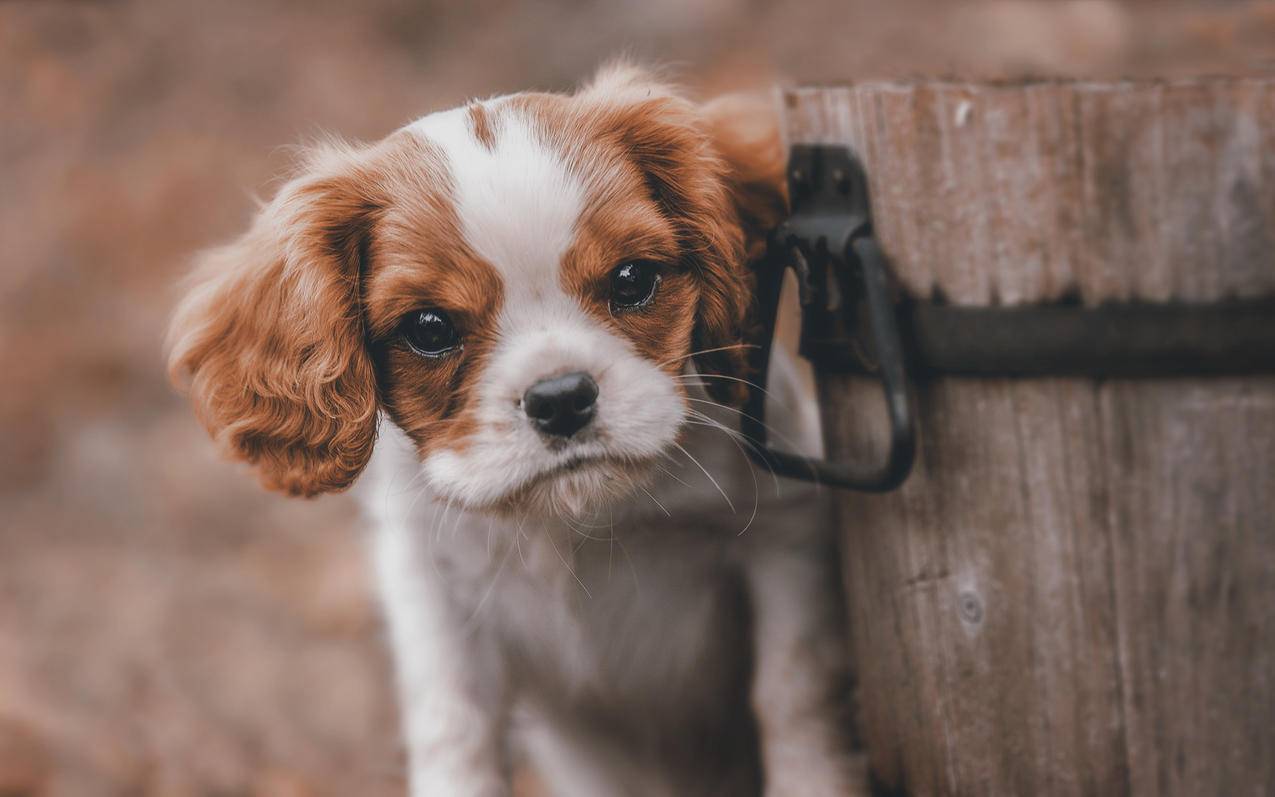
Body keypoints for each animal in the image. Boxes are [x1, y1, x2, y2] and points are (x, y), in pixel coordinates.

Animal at [167, 65, 856, 790]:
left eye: (632, 279)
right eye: (429, 328)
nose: (560, 398)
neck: (571, 519)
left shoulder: (785, 533)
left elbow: (792, 693)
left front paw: (814, 785)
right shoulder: (433, 587)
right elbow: (454, 726)